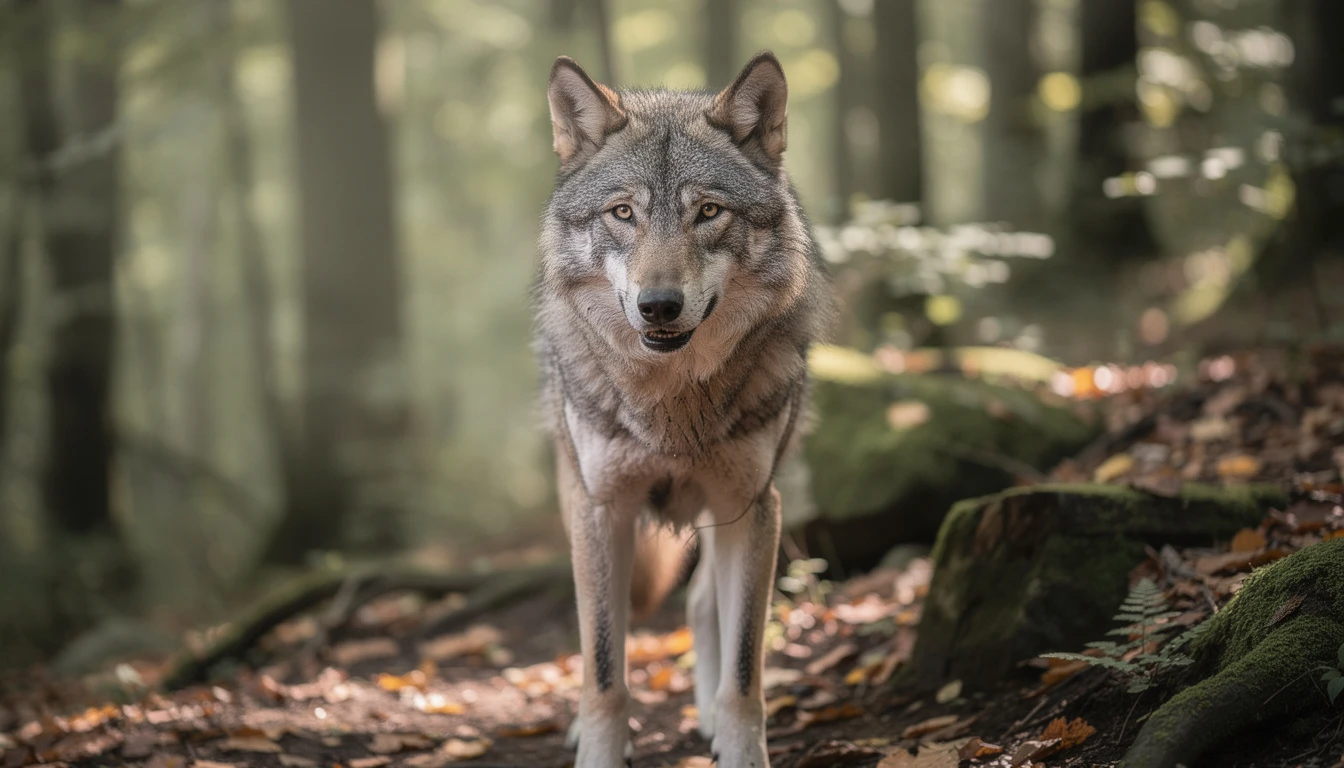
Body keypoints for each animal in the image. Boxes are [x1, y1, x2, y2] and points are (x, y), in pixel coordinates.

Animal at [533, 51, 833, 767]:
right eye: (622, 213)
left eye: (708, 212)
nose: (659, 306)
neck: (670, 401)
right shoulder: (601, 509)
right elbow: (604, 663)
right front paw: (600, 749)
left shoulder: (752, 505)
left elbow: (746, 667)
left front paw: (741, 746)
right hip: (576, 494)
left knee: (701, 604)